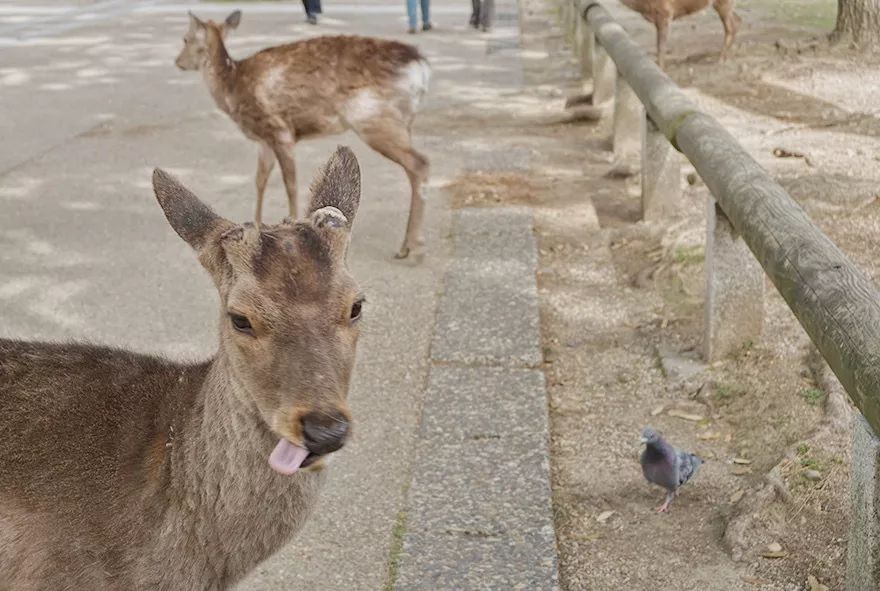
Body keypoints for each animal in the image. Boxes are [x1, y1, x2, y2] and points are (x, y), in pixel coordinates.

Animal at [174, 9, 432, 260]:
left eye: (186, 38)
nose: (177, 62)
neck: (232, 90)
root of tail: (421, 67)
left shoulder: (280, 130)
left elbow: (291, 183)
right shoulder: (264, 141)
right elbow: (260, 180)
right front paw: (255, 226)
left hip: (375, 119)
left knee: (419, 163)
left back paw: (409, 246)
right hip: (401, 123)